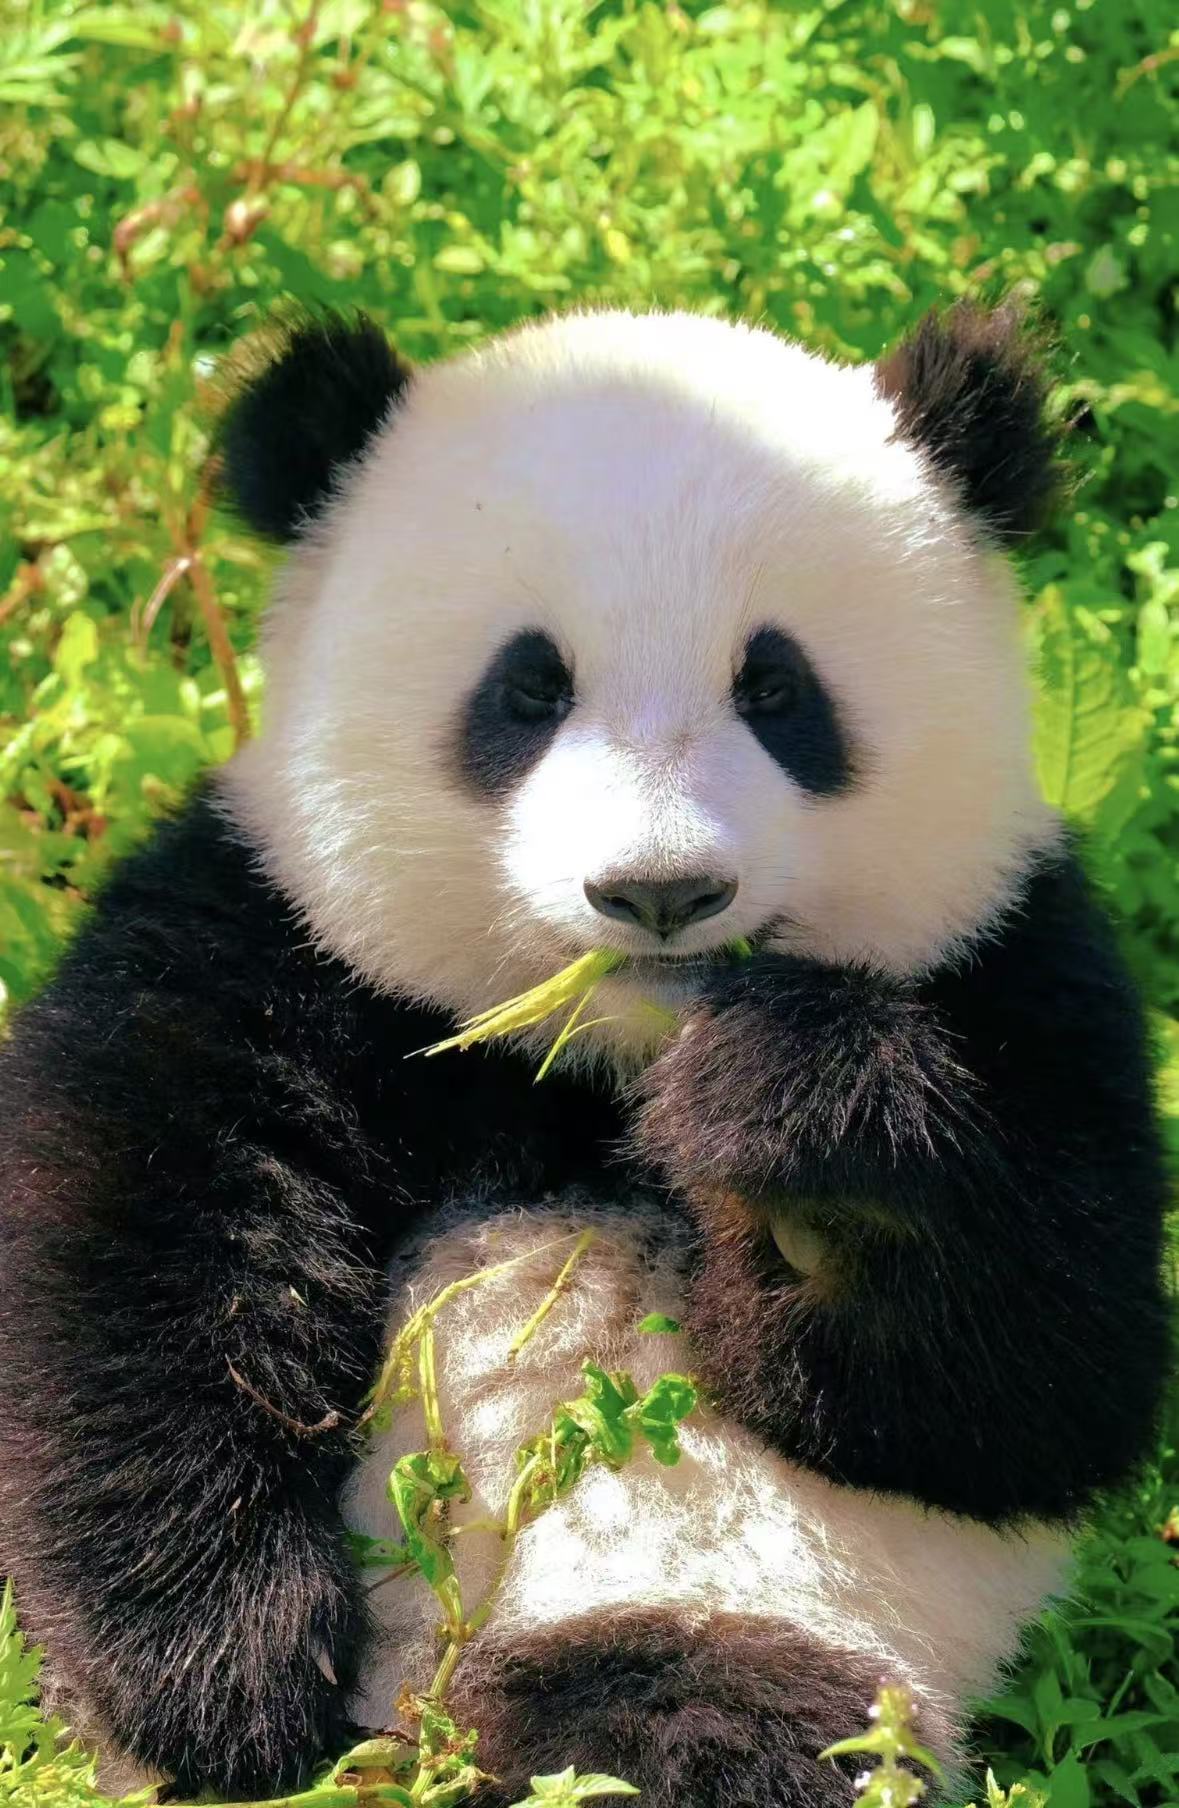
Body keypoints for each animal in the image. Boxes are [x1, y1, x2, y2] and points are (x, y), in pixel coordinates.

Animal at [0, 302, 1168, 1808]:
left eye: (776, 687)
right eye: (528, 688)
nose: (659, 891)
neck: (592, 1059)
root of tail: (415, 1719)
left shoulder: (1023, 972)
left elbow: (1039, 1384)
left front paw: (794, 1138)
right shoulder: (263, 937)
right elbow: (136, 1264)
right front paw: (214, 1679)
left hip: (738, 1608)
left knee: (712, 1723)